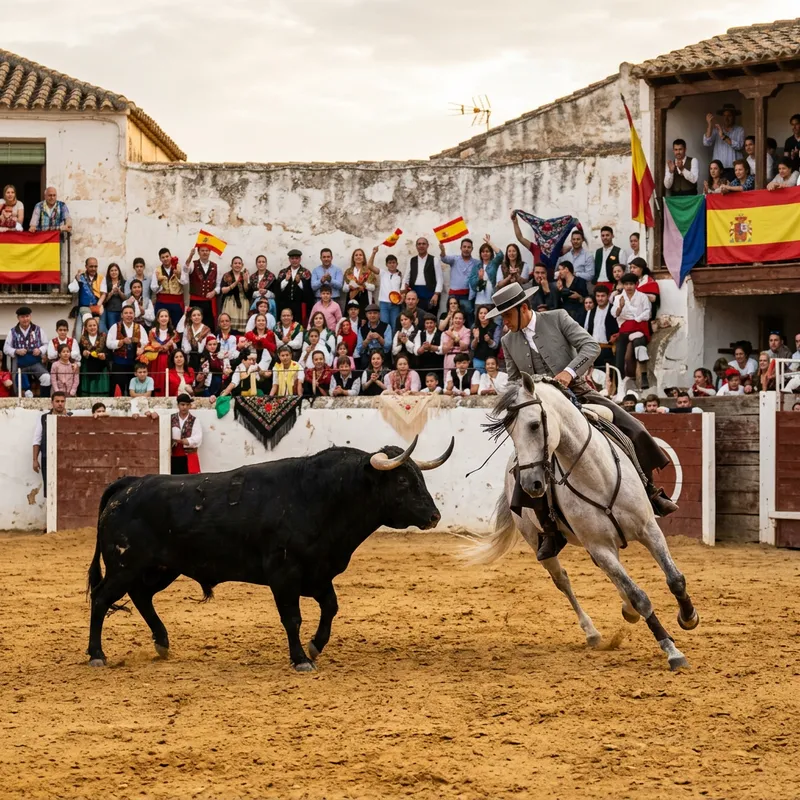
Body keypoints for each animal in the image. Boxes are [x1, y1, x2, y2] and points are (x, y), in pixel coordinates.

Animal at [86, 435, 453, 672]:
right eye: (402, 482)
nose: (435, 516)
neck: (322, 496)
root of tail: (128, 485)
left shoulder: (318, 573)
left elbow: (331, 607)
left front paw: (315, 646)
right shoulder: (284, 574)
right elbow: (292, 617)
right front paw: (301, 659)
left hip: (160, 568)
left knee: (141, 596)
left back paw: (162, 642)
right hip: (124, 565)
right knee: (102, 598)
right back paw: (96, 655)